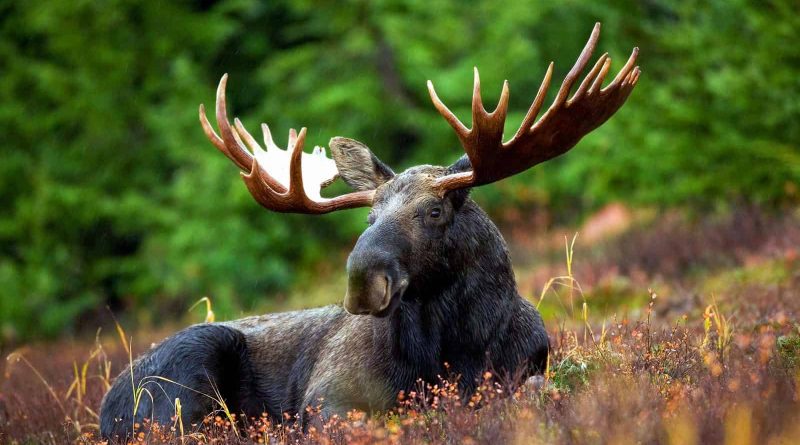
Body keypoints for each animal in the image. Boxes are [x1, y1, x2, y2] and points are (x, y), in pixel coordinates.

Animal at [100, 23, 639, 440]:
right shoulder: (327, 397)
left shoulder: (527, 368)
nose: (362, 281)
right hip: (187, 370)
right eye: (369, 217)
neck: (455, 349)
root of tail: (105, 409)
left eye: (434, 211)